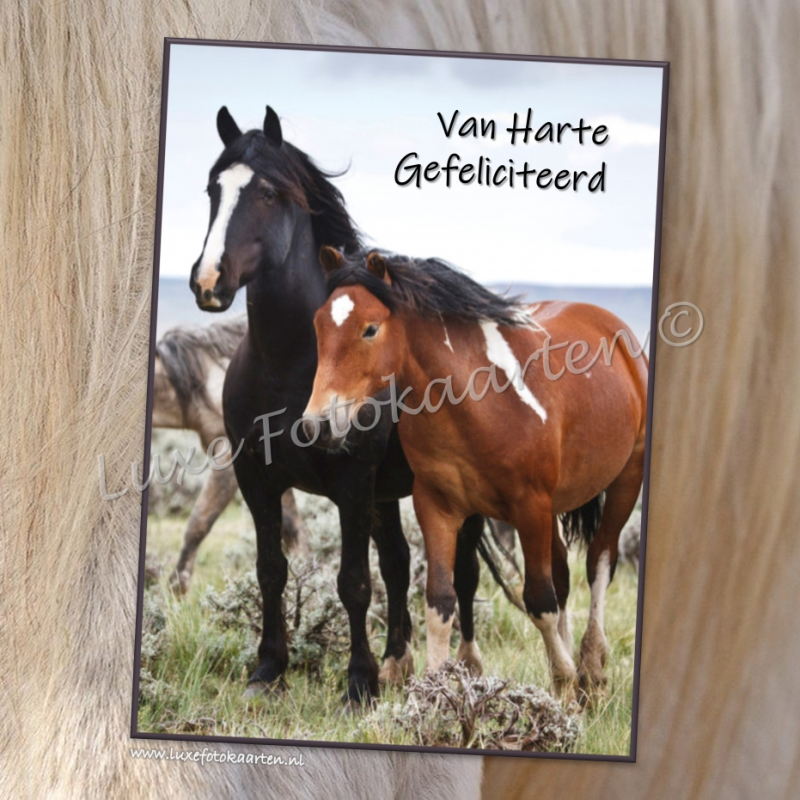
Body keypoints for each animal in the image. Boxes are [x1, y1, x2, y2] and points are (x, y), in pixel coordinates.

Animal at [187, 105, 502, 702]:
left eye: (267, 192)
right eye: (213, 188)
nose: (209, 281)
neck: (291, 367)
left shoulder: (353, 482)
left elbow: (354, 582)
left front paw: (358, 683)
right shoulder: (256, 478)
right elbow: (271, 570)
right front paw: (268, 669)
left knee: (462, 572)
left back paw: (464, 669)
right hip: (387, 496)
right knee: (399, 563)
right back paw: (398, 663)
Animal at [304, 248, 648, 702]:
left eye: (370, 329)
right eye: (318, 325)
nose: (318, 425)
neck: (477, 400)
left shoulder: (530, 507)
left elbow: (538, 600)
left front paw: (564, 684)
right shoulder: (438, 507)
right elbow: (440, 602)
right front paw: (431, 693)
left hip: (626, 481)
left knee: (599, 564)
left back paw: (591, 668)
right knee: (563, 575)